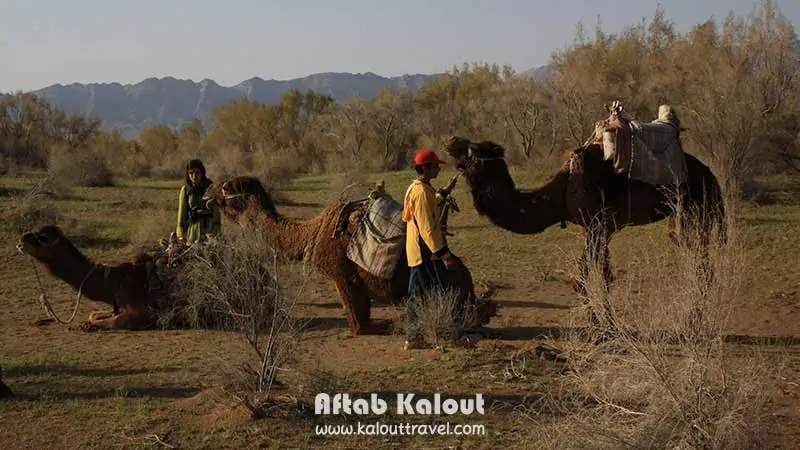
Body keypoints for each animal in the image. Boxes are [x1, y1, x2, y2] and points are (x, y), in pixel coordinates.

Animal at [203, 174, 496, 336]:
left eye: (227, 187)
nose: (206, 192)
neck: (313, 231)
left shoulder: (340, 275)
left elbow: (357, 324)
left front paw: (380, 327)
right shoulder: (356, 280)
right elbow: (362, 315)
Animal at [444, 135, 724, 328]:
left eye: (471, 149)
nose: (451, 141)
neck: (560, 195)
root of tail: (710, 174)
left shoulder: (597, 225)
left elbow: (582, 277)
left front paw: (598, 324)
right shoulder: (598, 229)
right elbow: (604, 274)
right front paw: (608, 322)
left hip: (696, 208)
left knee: (703, 265)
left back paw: (693, 320)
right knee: (697, 260)